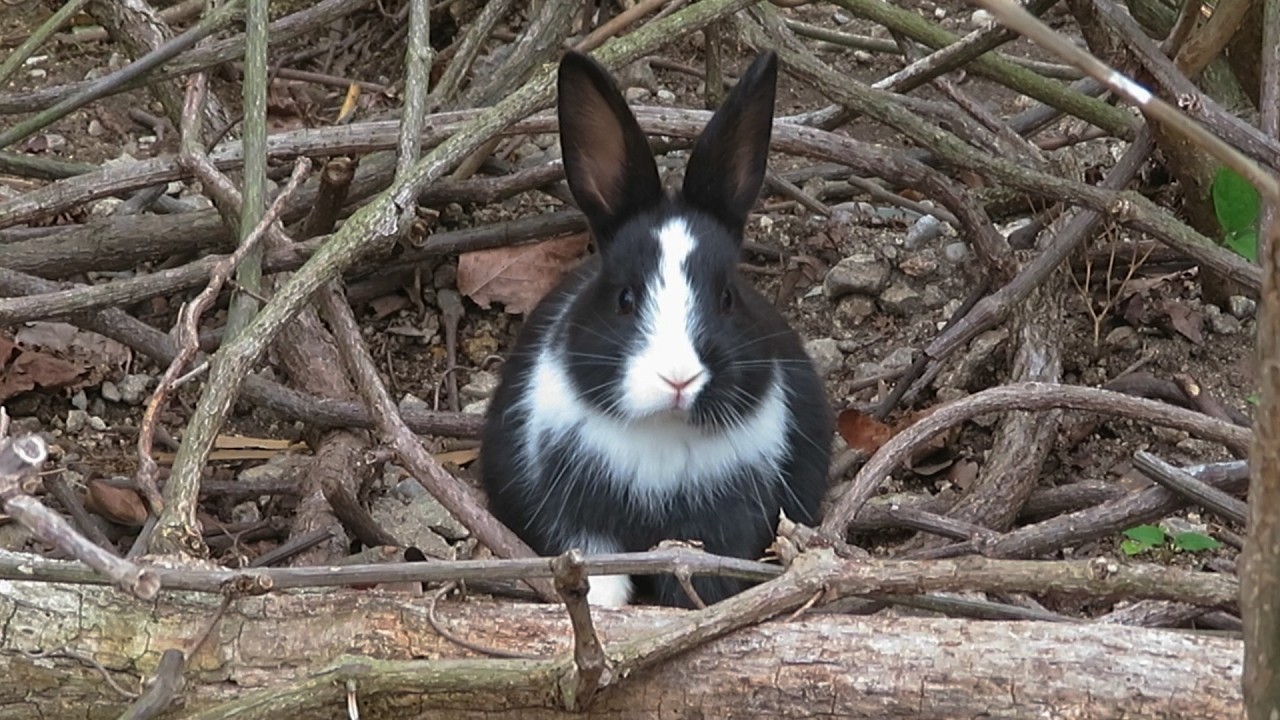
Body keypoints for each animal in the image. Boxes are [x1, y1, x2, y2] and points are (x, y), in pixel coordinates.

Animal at [479, 49, 833, 609]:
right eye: (624, 298)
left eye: (727, 297)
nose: (679, 380)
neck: (664, 433)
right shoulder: (579, 518)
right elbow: (596, 567)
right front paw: (602, 606)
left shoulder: (723, 523)